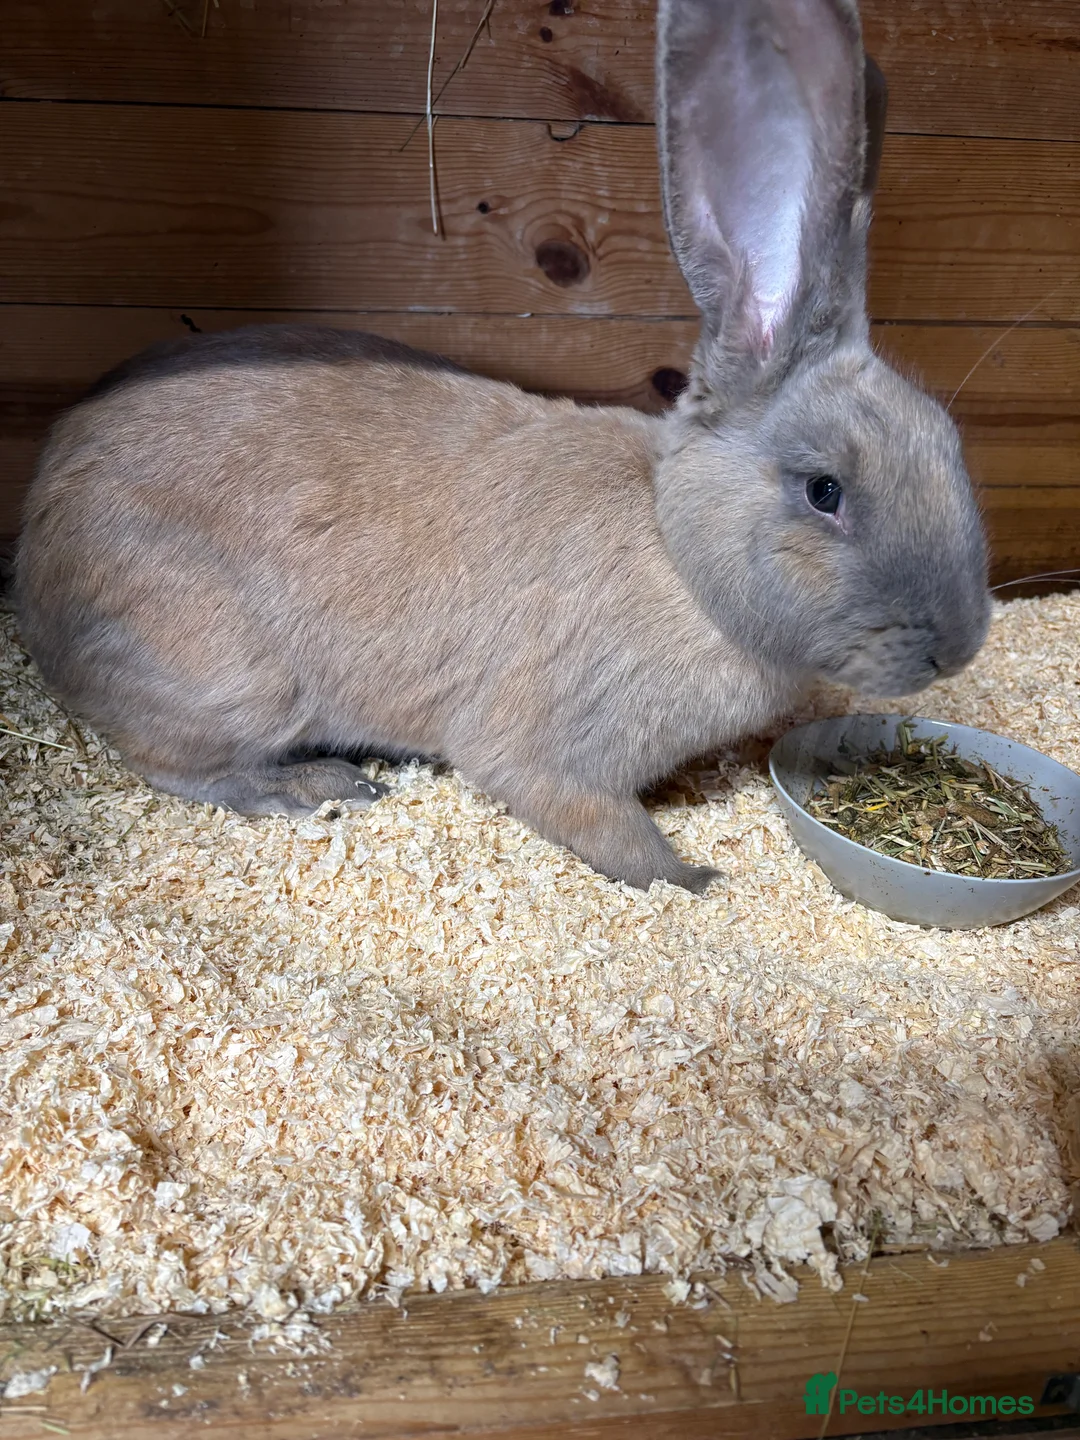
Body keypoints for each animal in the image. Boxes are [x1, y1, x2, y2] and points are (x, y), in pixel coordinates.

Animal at [14, 0, 990, 894]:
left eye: (951, 447)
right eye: (825, 490)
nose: (960, 648)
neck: (675, 553)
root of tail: (34, 545)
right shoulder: (555, 754)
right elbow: (601, 825)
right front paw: (694, 881)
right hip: (233, 678)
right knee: (172, 759)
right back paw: (316, 784)